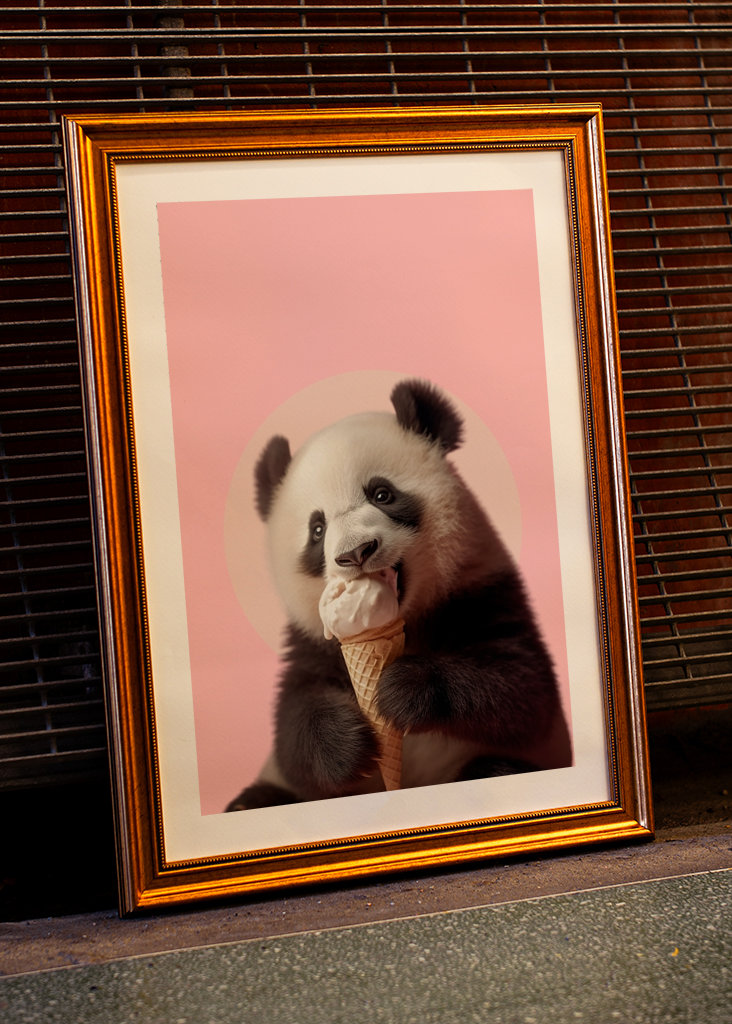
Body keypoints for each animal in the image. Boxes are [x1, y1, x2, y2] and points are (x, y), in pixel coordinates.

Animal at [226, 379, 569, 811]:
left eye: (382, 494)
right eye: (317, 529)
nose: (356, 552)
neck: (406, 620)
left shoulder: (482, 590)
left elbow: (523, 688)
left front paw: (402, 689)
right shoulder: (311, 640)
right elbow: (293, 722)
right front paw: (348, 746)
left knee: (498, 769)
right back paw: (250, 802)